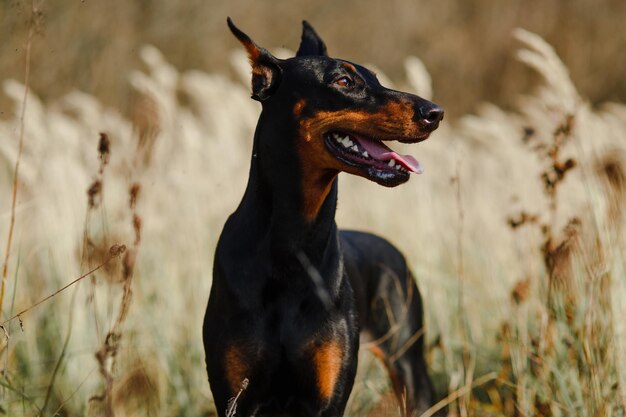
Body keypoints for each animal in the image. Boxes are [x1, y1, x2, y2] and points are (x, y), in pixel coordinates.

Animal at [202, 17, 442, 416]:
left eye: (376, 79)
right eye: (344, 82)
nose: (435, 112)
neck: (293, 242)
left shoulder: (328, 394)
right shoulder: (235, 395)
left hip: (411, 369)